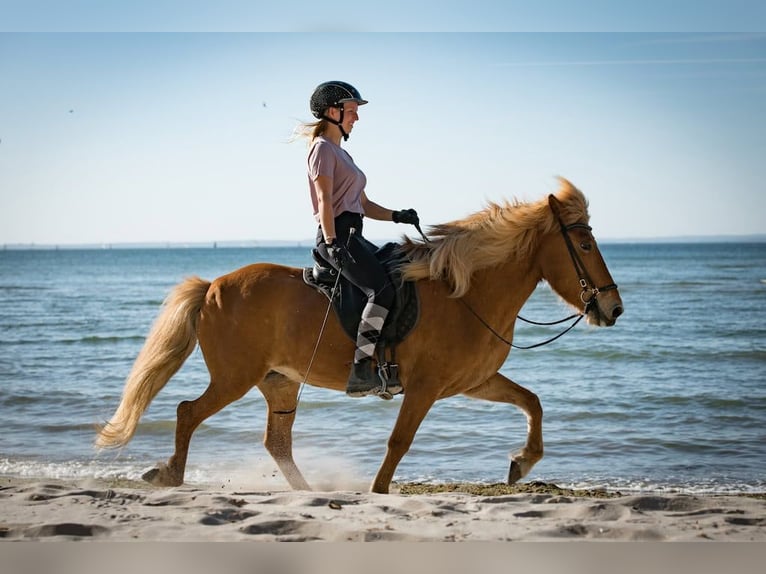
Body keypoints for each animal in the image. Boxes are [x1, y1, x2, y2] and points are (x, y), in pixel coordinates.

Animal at [96, 179, 624, 496]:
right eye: (583, 243)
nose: (613, 308)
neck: (465, 293)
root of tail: (211, 287)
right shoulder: (426, 387)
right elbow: (399, 441)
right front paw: (377, 492)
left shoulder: (472, 382)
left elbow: (532, 401)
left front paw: (521, 463)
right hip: (235, 377)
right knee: (188, 413)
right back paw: (170, 475)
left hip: (280, 381)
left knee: (276, 442)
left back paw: (307, 494)